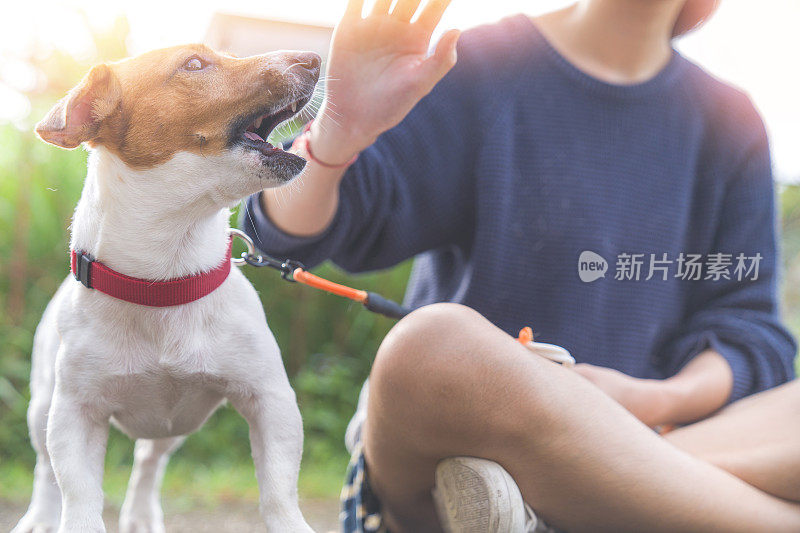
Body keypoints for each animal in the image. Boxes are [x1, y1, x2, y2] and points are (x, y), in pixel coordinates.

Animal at [10, 43, 320, 528]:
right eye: (193, 64)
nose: (315, 57)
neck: (164, 279)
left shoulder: (270, 400)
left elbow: (278, 491)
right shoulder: (75, 413)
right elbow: (77, 495)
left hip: (174, 424)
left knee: (148, 463)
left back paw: (140, 514)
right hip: (42, 405)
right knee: (45, 469)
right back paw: (41, 517)